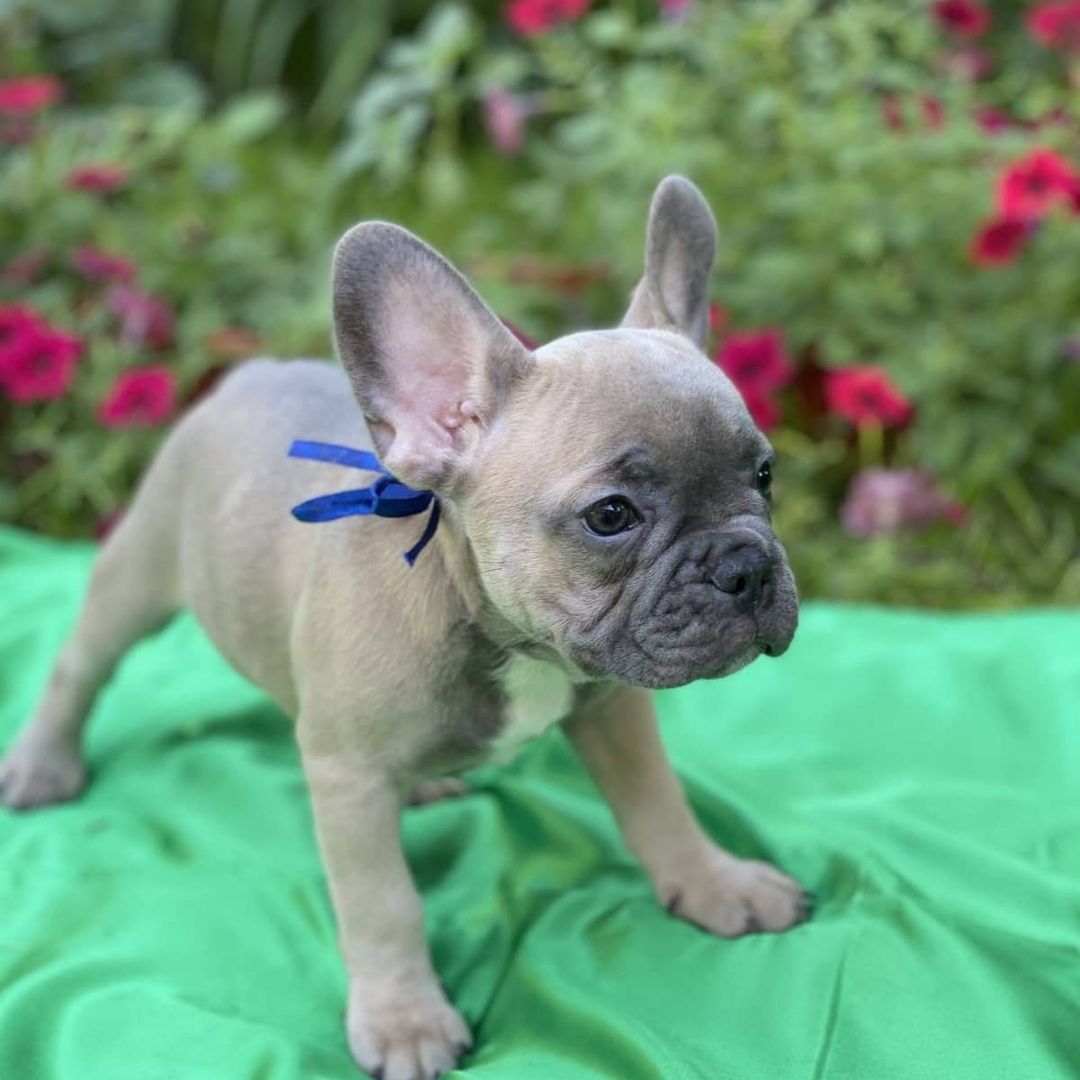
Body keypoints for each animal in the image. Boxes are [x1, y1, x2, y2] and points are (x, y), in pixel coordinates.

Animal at [0, 177, 803, 1080]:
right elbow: (383, 903)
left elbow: (658, 803)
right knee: (81, 665)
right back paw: (42, 762)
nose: (745, 566)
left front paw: (714, 883)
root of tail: (246, 373)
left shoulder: (612, 708)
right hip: (138, 569)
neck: (504, 635)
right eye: (611, 516)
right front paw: (404, 1020)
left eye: (764, 476)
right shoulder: (348, 778)